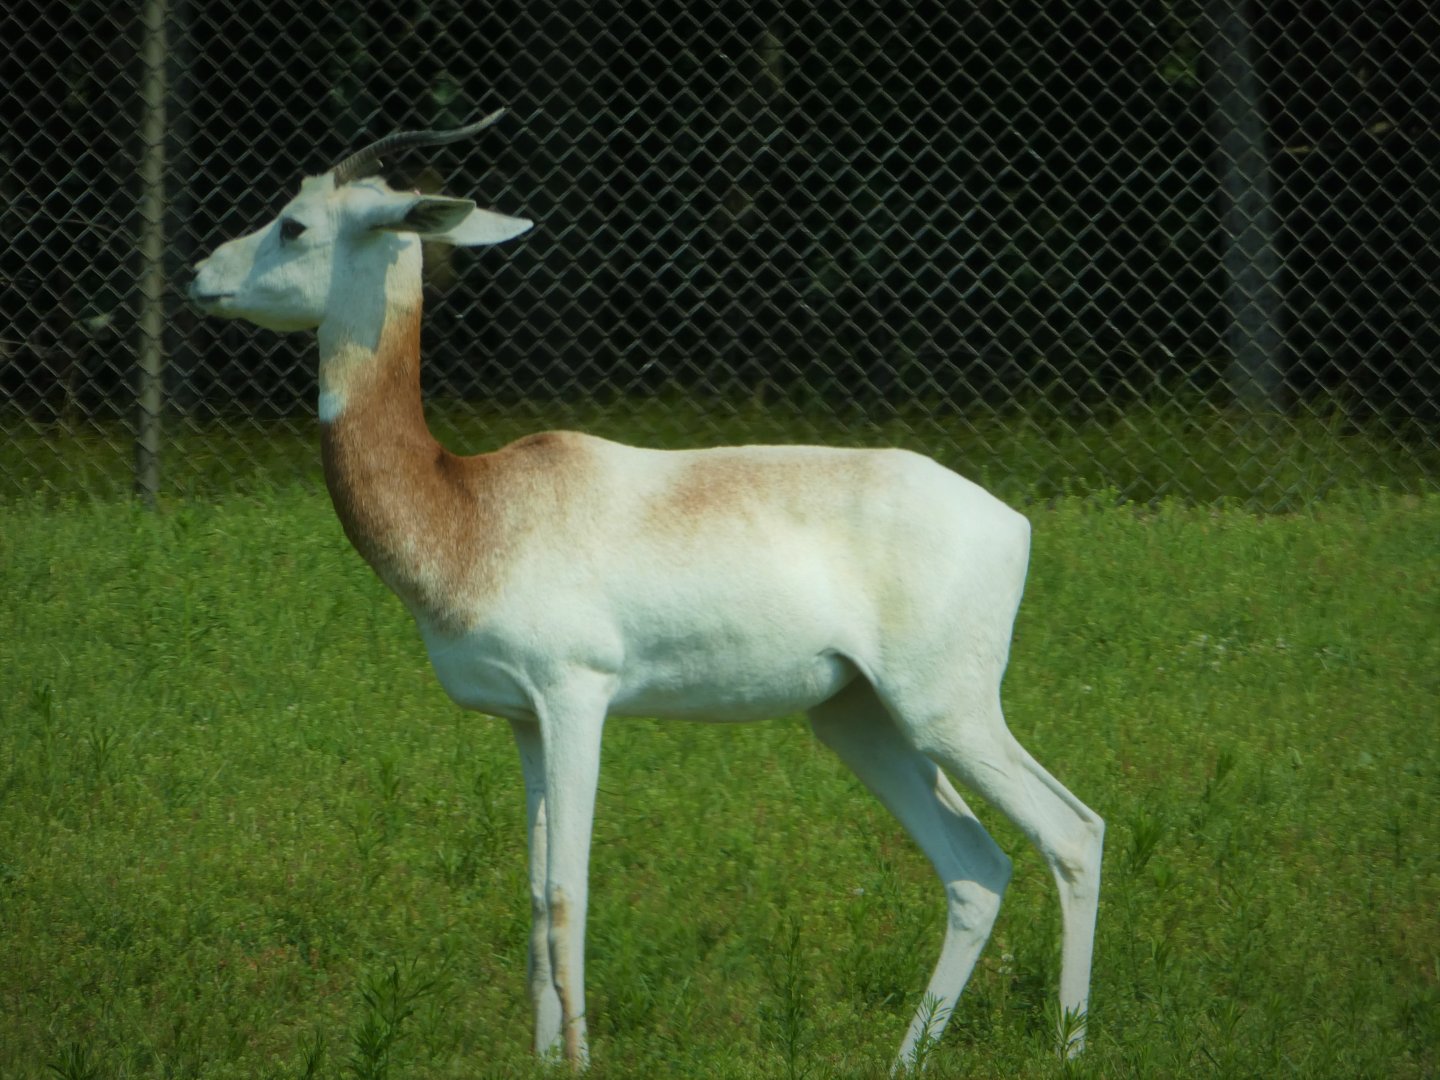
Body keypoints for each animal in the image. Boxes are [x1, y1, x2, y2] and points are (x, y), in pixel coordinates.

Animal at [188, 111, 1104, 1073]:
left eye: (294, 224)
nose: (198, 276)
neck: (469, 508)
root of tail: (1010, 519)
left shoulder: (576, 697)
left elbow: (567, 893)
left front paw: (580, 1059)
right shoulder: (523, 720)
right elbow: (531, 901)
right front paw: (544, 1058)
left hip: (947, 709)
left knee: (1073, 834)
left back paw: (1070, 1047)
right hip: (859, 718)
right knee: (975, 867)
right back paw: (905, 1059)